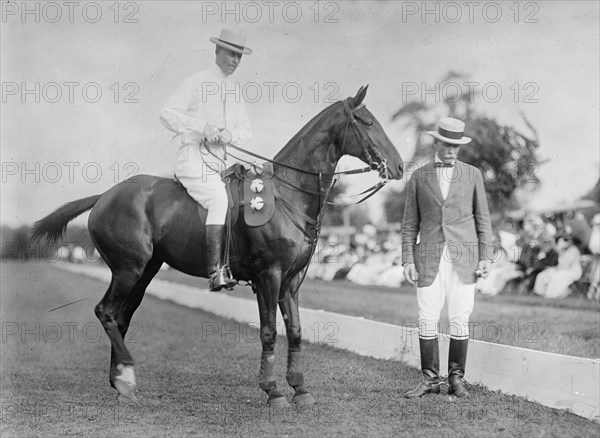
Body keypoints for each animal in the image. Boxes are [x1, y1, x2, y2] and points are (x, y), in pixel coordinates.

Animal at [30, 85, 404, 408]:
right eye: (367, 122)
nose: (399, 166)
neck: (287, 194)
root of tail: (104, 196)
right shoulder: (268, 276)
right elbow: (269, 332)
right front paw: (273, 392)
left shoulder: (292, 281)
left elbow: (296, 331)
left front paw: (300, 389)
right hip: (127, 268)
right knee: (106, 311)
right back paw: (126, 376)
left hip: (144, 271)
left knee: (121, 316)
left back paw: (122, 384)